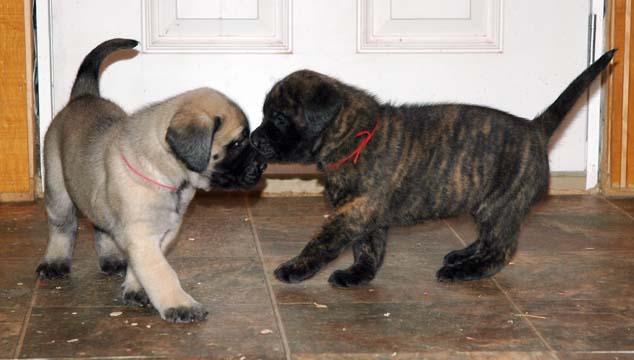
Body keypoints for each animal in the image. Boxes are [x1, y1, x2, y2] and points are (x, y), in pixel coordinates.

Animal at [251, 50, 612, 286]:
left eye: (278, 118)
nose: (254, 140)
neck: (352, 136)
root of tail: (534, 129)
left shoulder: (355, 211)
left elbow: (323, 242)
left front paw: (296, 267)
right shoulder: (367, 215)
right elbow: (368, 247)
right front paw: (359, 274)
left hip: (502, 205)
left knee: (501, 249)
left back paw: (465, 270)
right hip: (487, 206)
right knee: (489, 240)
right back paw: (463, 255)